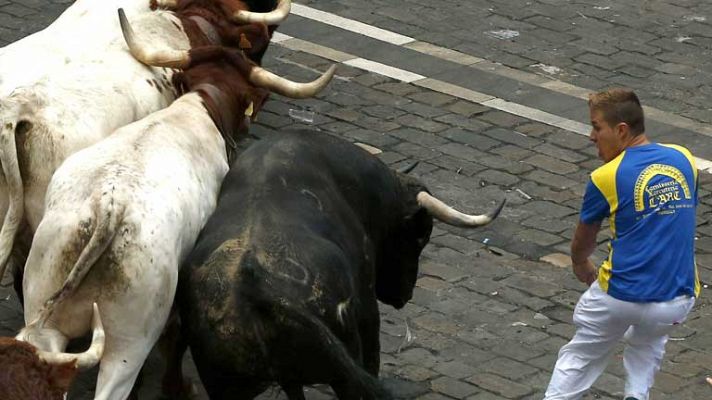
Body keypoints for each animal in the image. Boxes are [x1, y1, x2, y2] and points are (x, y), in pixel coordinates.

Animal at [175, 130, 504, 398]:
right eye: (421, 236)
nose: (405, 295)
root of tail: (252, 285)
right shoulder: (367, 310)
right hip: (345, 365)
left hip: (227, 386)